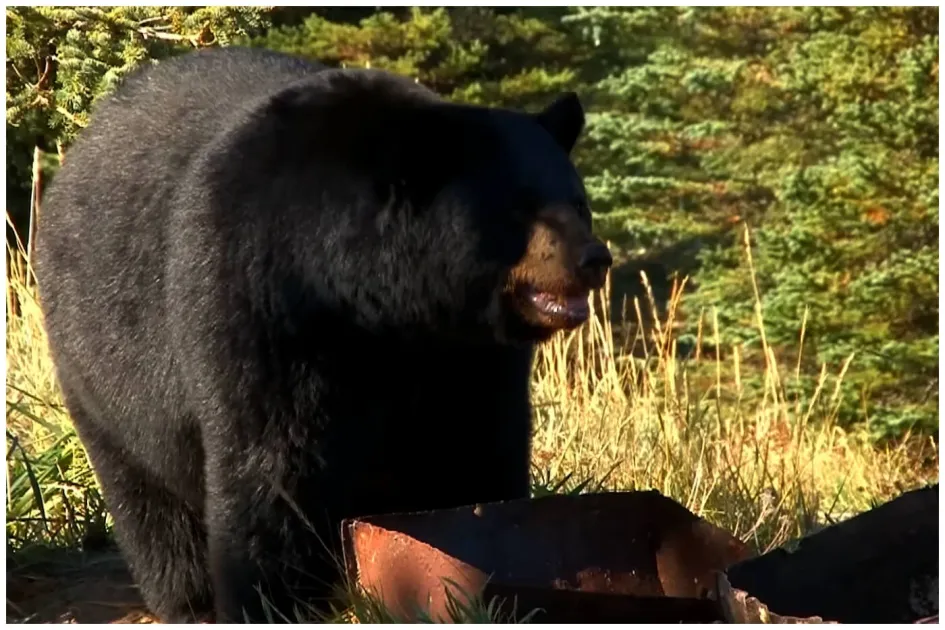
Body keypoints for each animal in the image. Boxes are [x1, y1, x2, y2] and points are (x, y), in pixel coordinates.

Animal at [33, 46, 613, 623]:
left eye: (578, 202)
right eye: (518, 209)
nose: (593, 259)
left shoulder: (466, 349)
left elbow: (474, 435)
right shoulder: (264, 302)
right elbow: (277, 460)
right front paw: (273, 598)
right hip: (100, 367)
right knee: (149, 498)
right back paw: (189, 598)